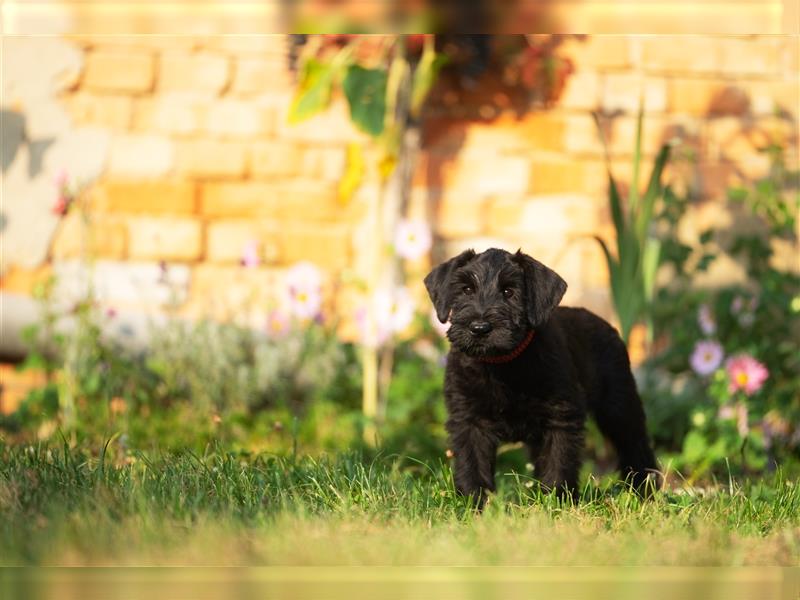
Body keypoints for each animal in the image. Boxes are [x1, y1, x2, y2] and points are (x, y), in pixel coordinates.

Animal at [424, 248, 664, 506]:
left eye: (509, 292)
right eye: (466, 289)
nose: (479, 328)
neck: (503, 365)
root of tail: (606, 325)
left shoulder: (560, 418)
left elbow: (557, 461)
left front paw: (557, 502)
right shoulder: (469, 421)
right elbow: (473, 464)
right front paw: (475, 503)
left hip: (620, 408)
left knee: (635, 445)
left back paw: (645, 492)